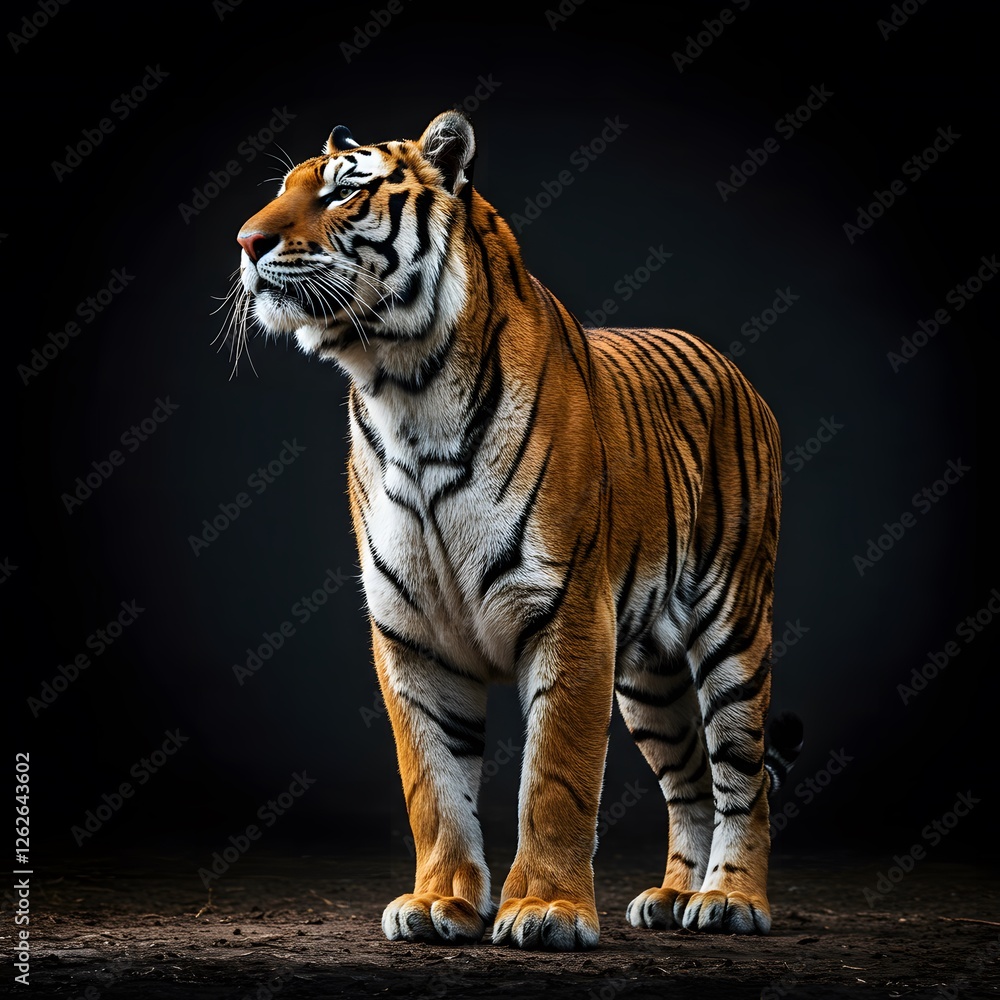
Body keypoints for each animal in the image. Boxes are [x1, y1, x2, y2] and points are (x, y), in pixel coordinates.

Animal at [231, 109, 802, 951]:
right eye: (282, 190)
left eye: (344, 192)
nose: (246, 241)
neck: (403, 389)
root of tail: (730, 366)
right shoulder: (410, 634)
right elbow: (432, 786)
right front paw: (439, 904)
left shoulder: (569, 615)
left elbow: (556, 780)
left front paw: (549, 911)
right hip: (650, 678)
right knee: (691, 781)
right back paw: (673, 894)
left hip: (732, 625)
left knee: (742, 773)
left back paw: (730, 899)